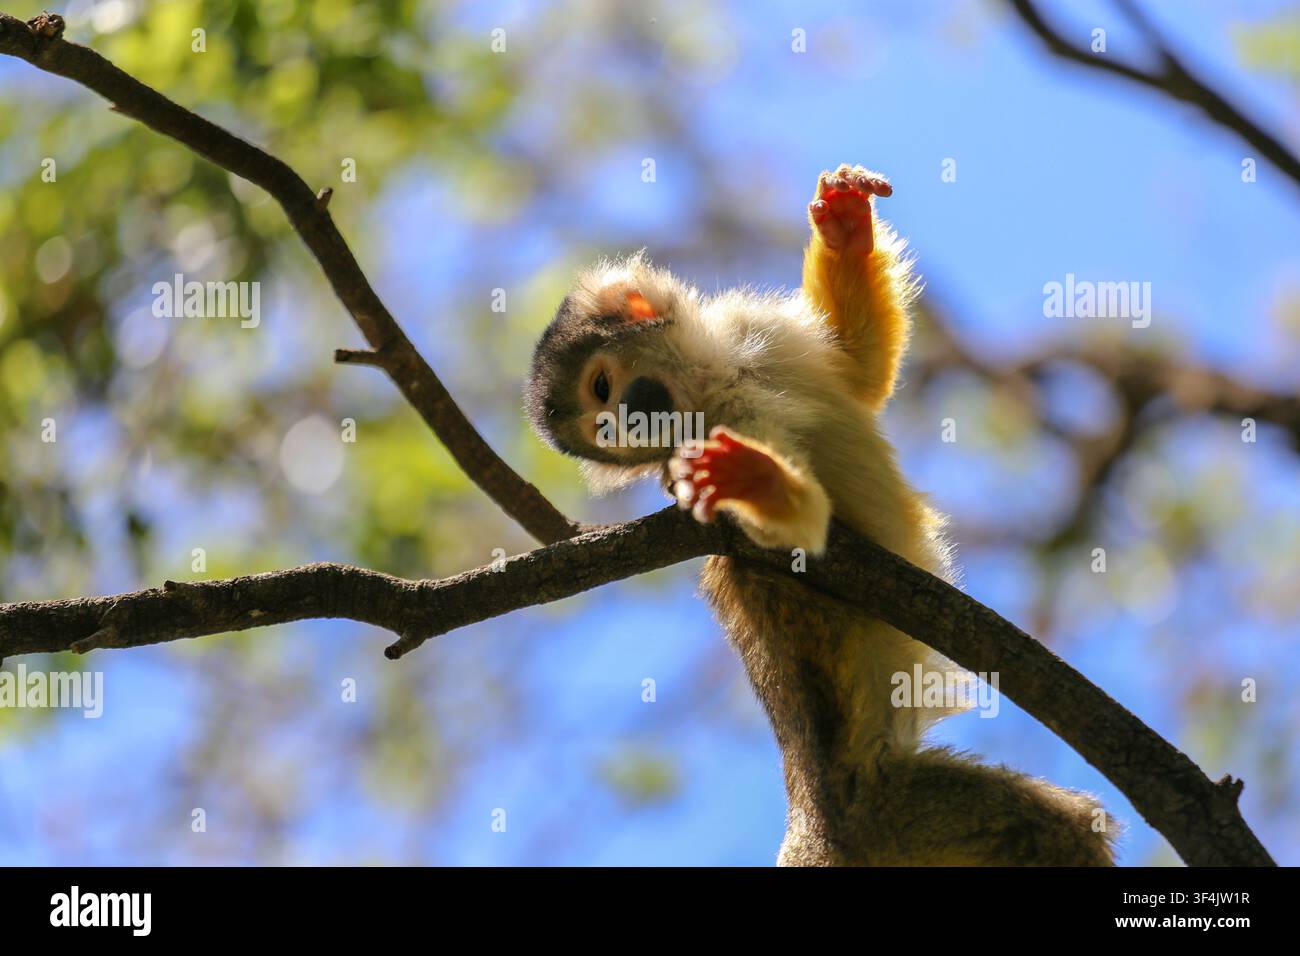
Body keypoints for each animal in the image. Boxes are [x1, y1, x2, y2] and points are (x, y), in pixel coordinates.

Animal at [525, 164, 1118, 866]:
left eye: (601, 391)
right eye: (604, 430)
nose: (621, 425)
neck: (716, 379)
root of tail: (814, 813)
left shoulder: (753, 329)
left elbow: (859, 368)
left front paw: (845, 229)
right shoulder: (716, 433)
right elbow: (805, 534)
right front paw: (753, 481)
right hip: (890, 813)